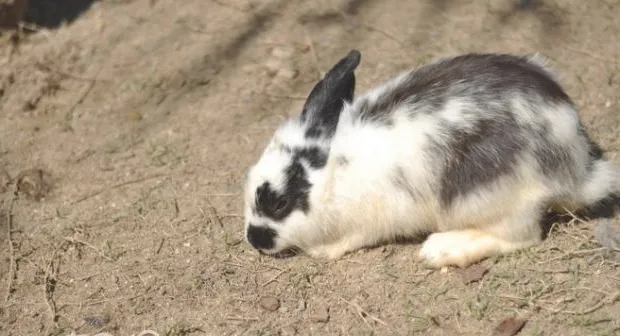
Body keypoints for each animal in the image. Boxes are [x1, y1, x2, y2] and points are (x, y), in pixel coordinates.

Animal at [243, 48, 620, 268]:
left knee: (521, 236)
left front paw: (322, 251)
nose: (254, 239)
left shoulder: (370, 220)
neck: (333, 174)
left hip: (489, 198)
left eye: (279, 203)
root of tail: (576, 167)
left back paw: (442, 250)